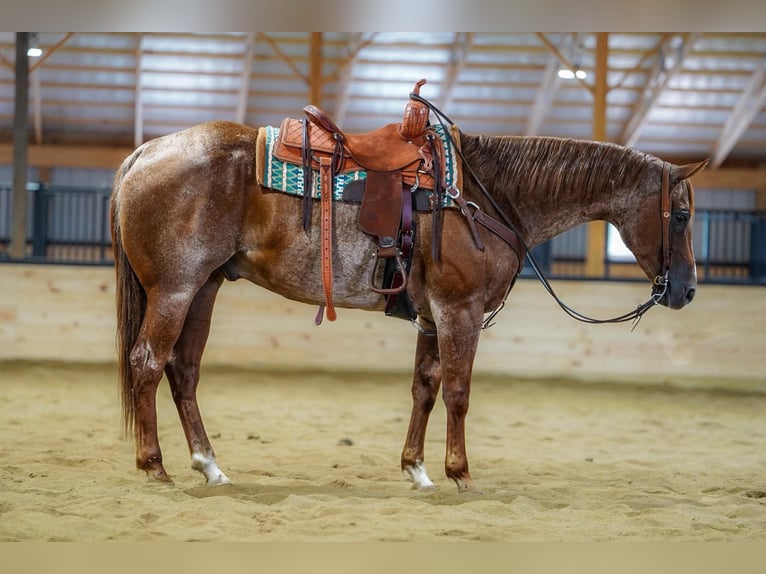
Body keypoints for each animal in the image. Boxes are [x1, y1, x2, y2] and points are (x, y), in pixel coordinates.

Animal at [110, 117, 706, 492]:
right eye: (680, 216)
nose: (687, 291)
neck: (487, 195)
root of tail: (145, 152)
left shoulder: (431, 317)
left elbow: (426, 387)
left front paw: (416, 469)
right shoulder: (460, 311)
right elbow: (459, 392)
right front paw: (460, 472)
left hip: (204, 288)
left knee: (183, 372)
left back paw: (209, 466)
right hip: (176, 290)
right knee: (148, 363)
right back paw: (153, 465)